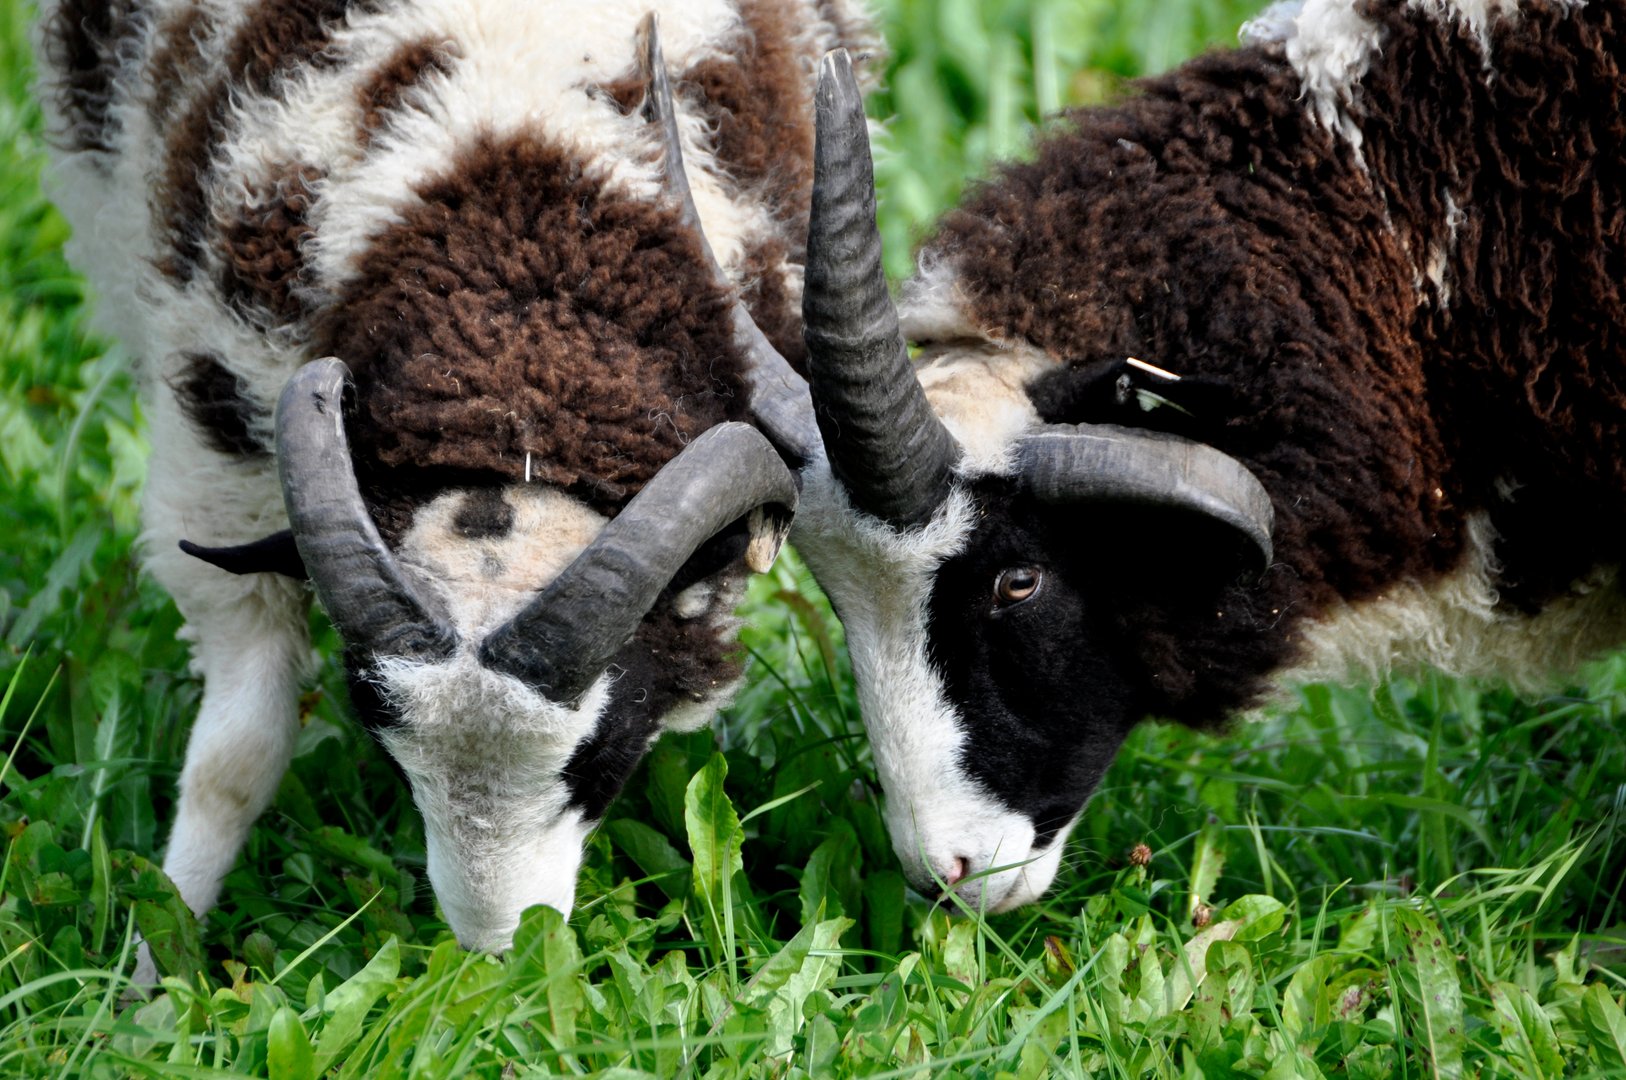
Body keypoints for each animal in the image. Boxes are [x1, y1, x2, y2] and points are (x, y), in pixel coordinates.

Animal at [33, 0, 873, 956]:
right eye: (384, 737)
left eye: (598, 752)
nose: (499, 953)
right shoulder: (212, 421)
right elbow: (234, 756)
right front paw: (156, 960)